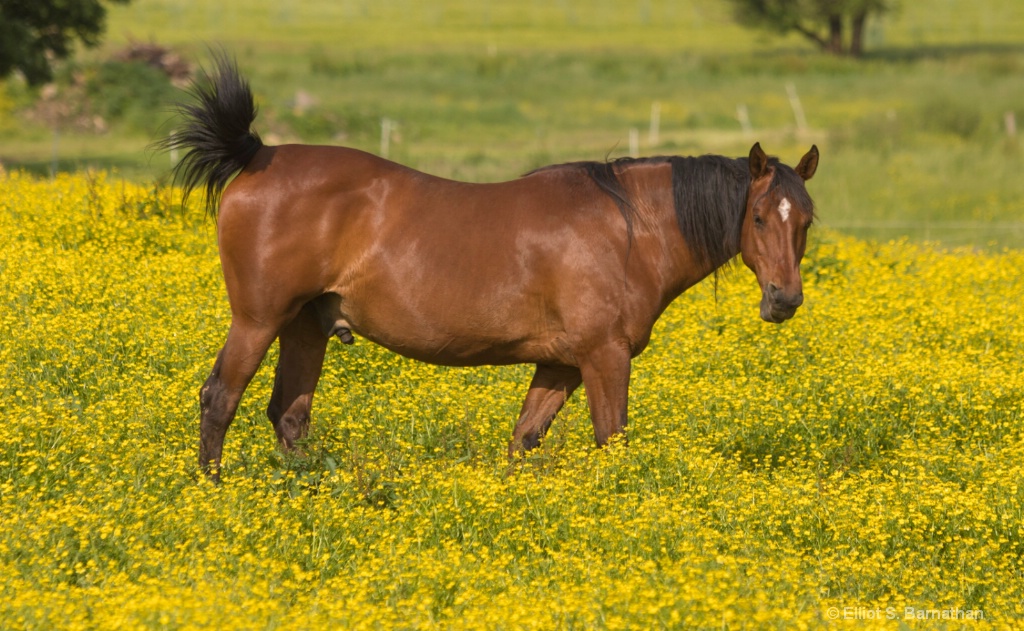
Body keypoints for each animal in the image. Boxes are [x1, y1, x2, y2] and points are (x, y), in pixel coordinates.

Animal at [161, 56, 815, 477]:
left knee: (289, 416)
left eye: (806, 220)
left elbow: (523, 442)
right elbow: (611, 441)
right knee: (220, 399)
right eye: (759, 217)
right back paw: (210, 487)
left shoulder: (560, 364)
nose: (784, 300)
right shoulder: (605, 357)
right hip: (258, 320)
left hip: (305, 327)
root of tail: (257, 155)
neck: (629, 228)